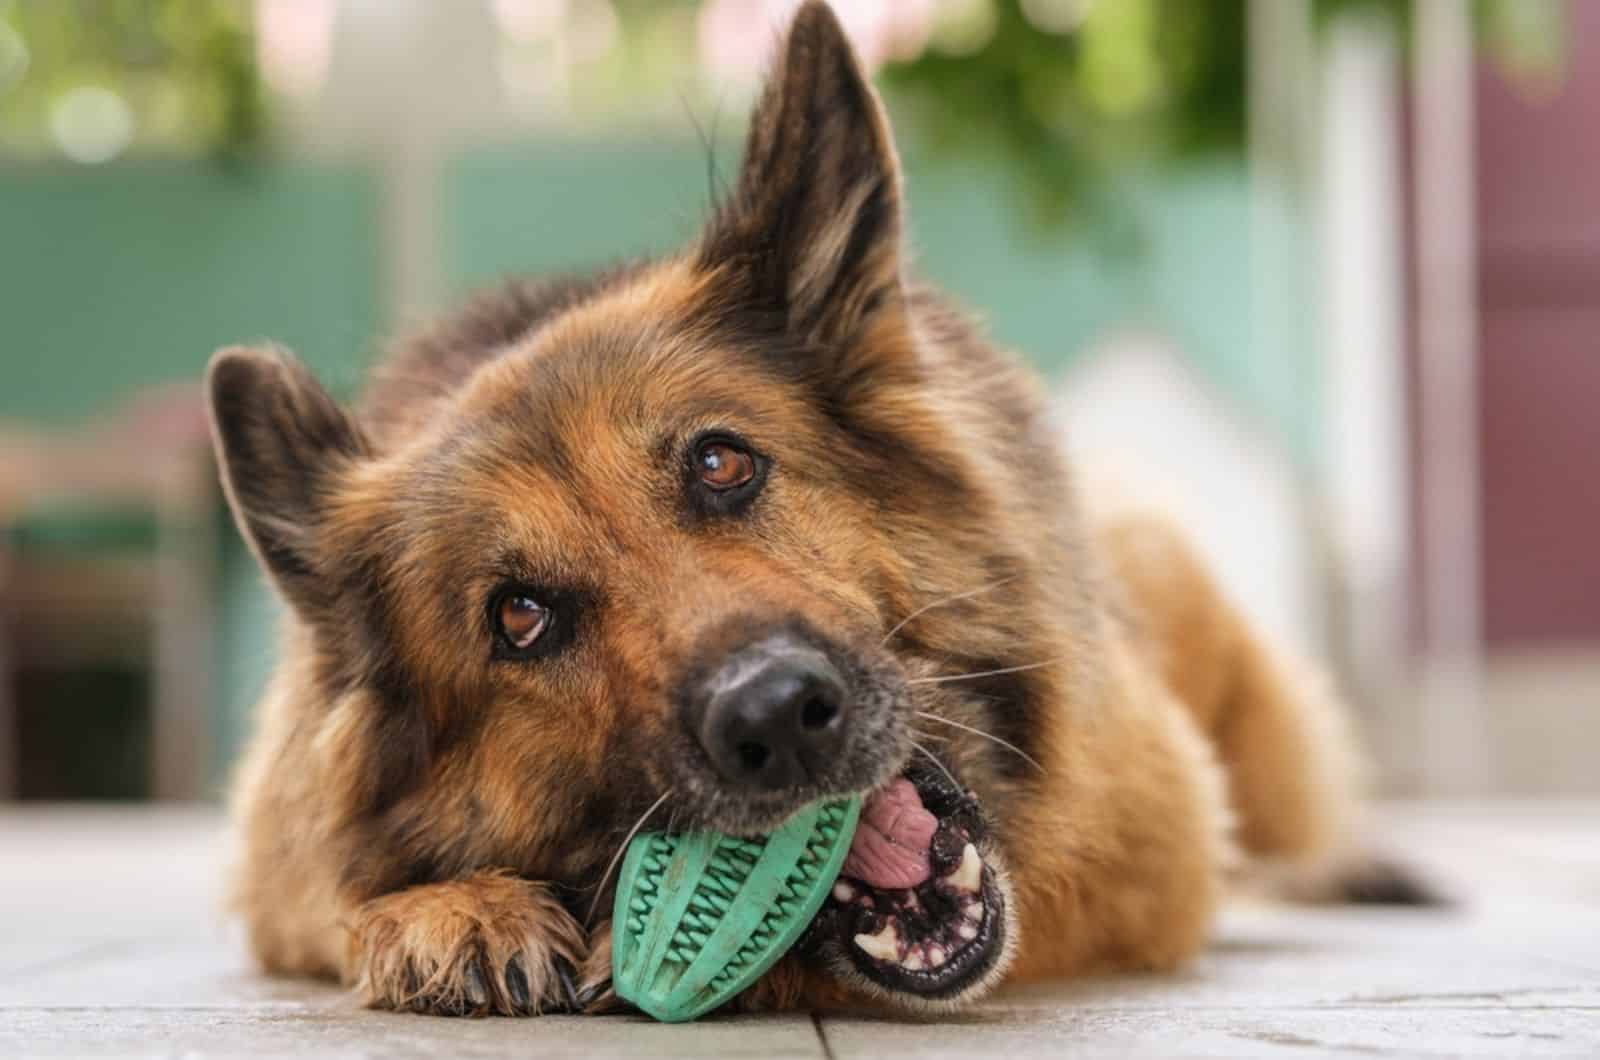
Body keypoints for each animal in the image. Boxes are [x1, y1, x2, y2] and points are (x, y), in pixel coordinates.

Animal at [209, 4, 1427, 1024]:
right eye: (519, 617)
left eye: (722, 463)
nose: (778, 715)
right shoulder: (276, 855)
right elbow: (335, 886)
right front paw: (448, 909)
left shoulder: (1155, 844)